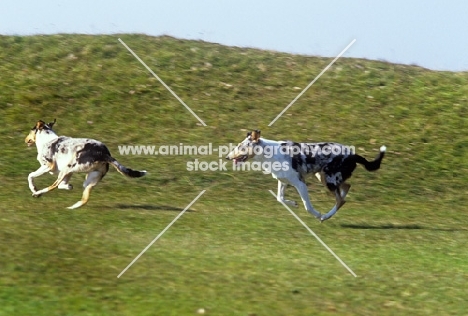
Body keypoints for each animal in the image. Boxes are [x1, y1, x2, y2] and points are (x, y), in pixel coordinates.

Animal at [225, 131, 386, 222]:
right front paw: (293, 203)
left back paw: (325, 216)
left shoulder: (300, 183)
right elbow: (280, 199)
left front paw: (316, 214)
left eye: (240, 147)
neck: (269, 153)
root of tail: (353, 154)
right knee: (345, 188)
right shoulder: (283, 181)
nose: (227, 157)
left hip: (328, 179)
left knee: (341, 200)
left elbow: (307, 206)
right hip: (324, 176)